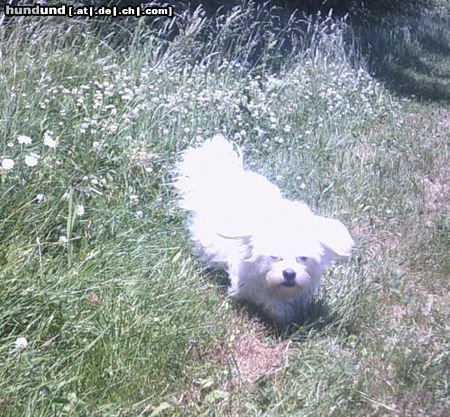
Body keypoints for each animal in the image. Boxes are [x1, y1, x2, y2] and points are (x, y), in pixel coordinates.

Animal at [174, 135, 354, 324]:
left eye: (302, 258)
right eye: (274, 256)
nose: (289, 273)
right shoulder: (245, 286)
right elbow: (264, 297)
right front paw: (280, 311)